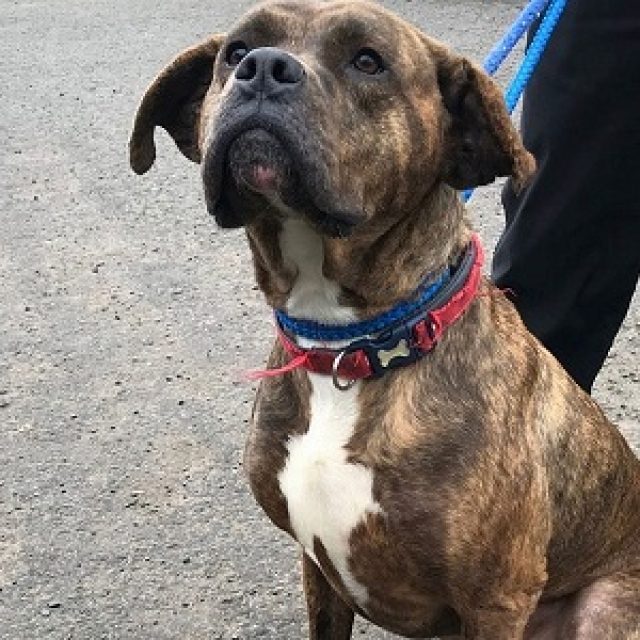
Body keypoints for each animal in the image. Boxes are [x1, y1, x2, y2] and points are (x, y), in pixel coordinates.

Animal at [130, 1, 640, 637]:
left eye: (369, 61)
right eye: (236, 49)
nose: (264, 68)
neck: (352, 346)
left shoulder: (496, 599)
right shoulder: (318, 568)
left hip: (602, 605)